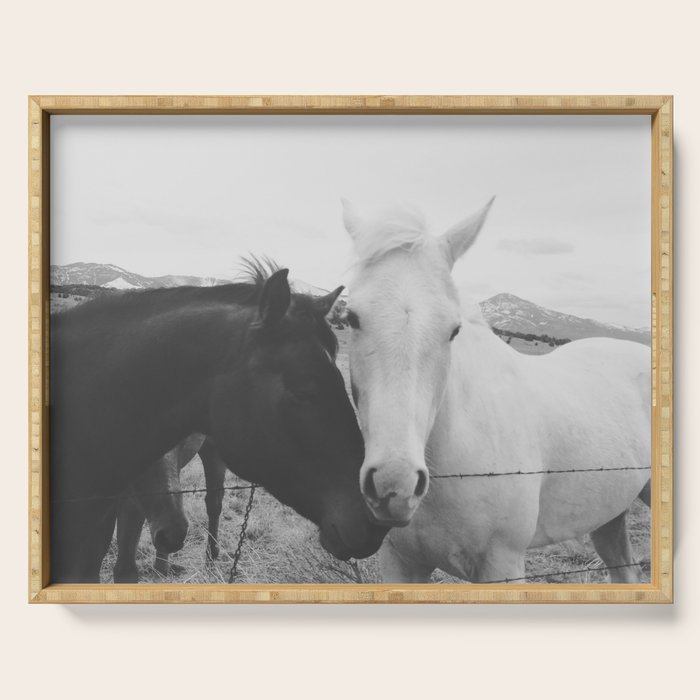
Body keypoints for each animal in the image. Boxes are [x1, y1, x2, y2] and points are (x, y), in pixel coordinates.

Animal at [341, 199, 651, 583]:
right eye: (351, 318)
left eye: (453, 329)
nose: (394, 485)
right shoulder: (401, 563)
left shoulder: (503, 565)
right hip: (609, 514)